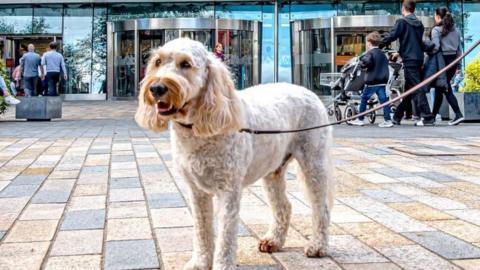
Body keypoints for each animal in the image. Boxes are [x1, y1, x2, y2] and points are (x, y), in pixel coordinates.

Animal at [135, 38, 334, 270]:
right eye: (157, 62)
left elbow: (226, 237)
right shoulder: (196, 191)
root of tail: (309, 92)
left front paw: (221, 264)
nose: (157, 88)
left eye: (186, 64)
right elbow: (201, 230)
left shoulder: (228, 190)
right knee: (283, 205)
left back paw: (318, 246)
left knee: (321, 206)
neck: (195, 127)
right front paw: (200, 262)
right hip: (272, 170)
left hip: (313, 161)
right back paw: (273, 240)